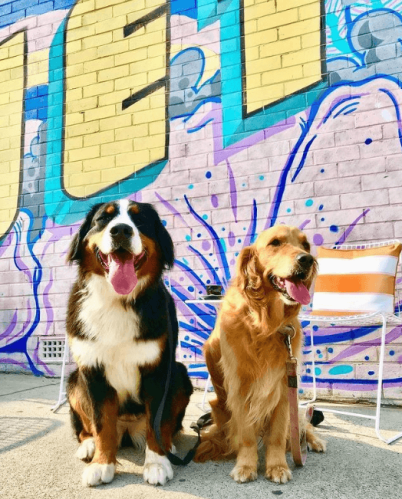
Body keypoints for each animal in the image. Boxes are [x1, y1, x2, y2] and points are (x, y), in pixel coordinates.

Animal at [66, 199, 193, 487]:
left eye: (140, 220)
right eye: (103, 219)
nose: (121, 230)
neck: (117, 301)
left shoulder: (158, 370)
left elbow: (156, 423)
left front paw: (156, 463)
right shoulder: (92, 369)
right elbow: (101, 423)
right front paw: (102, 463)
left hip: (179, 373)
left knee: (164, 425)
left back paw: (168, 446)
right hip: (75, 381)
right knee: (87, 429)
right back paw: (88, 446)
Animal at [194, 225, 326, 483]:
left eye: (305, 245)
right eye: (275, 243)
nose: (307, 259)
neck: (263, 323)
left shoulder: (284, 386)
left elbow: (278, 435)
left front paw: (277, 466)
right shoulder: (240, 387)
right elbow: (246, 435)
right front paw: (246, 465)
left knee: (303, 425)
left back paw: (314, 441)